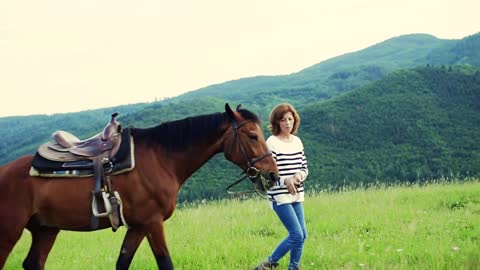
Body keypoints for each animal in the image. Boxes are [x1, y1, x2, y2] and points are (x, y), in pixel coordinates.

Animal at [0, 104, 280, 270]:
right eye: (253, 136)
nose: (272, 174)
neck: (161, 159)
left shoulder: (137, 226)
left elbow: (122, 263)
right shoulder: (153, 223)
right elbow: (165, 263)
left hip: (46, 230)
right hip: (10, 233)